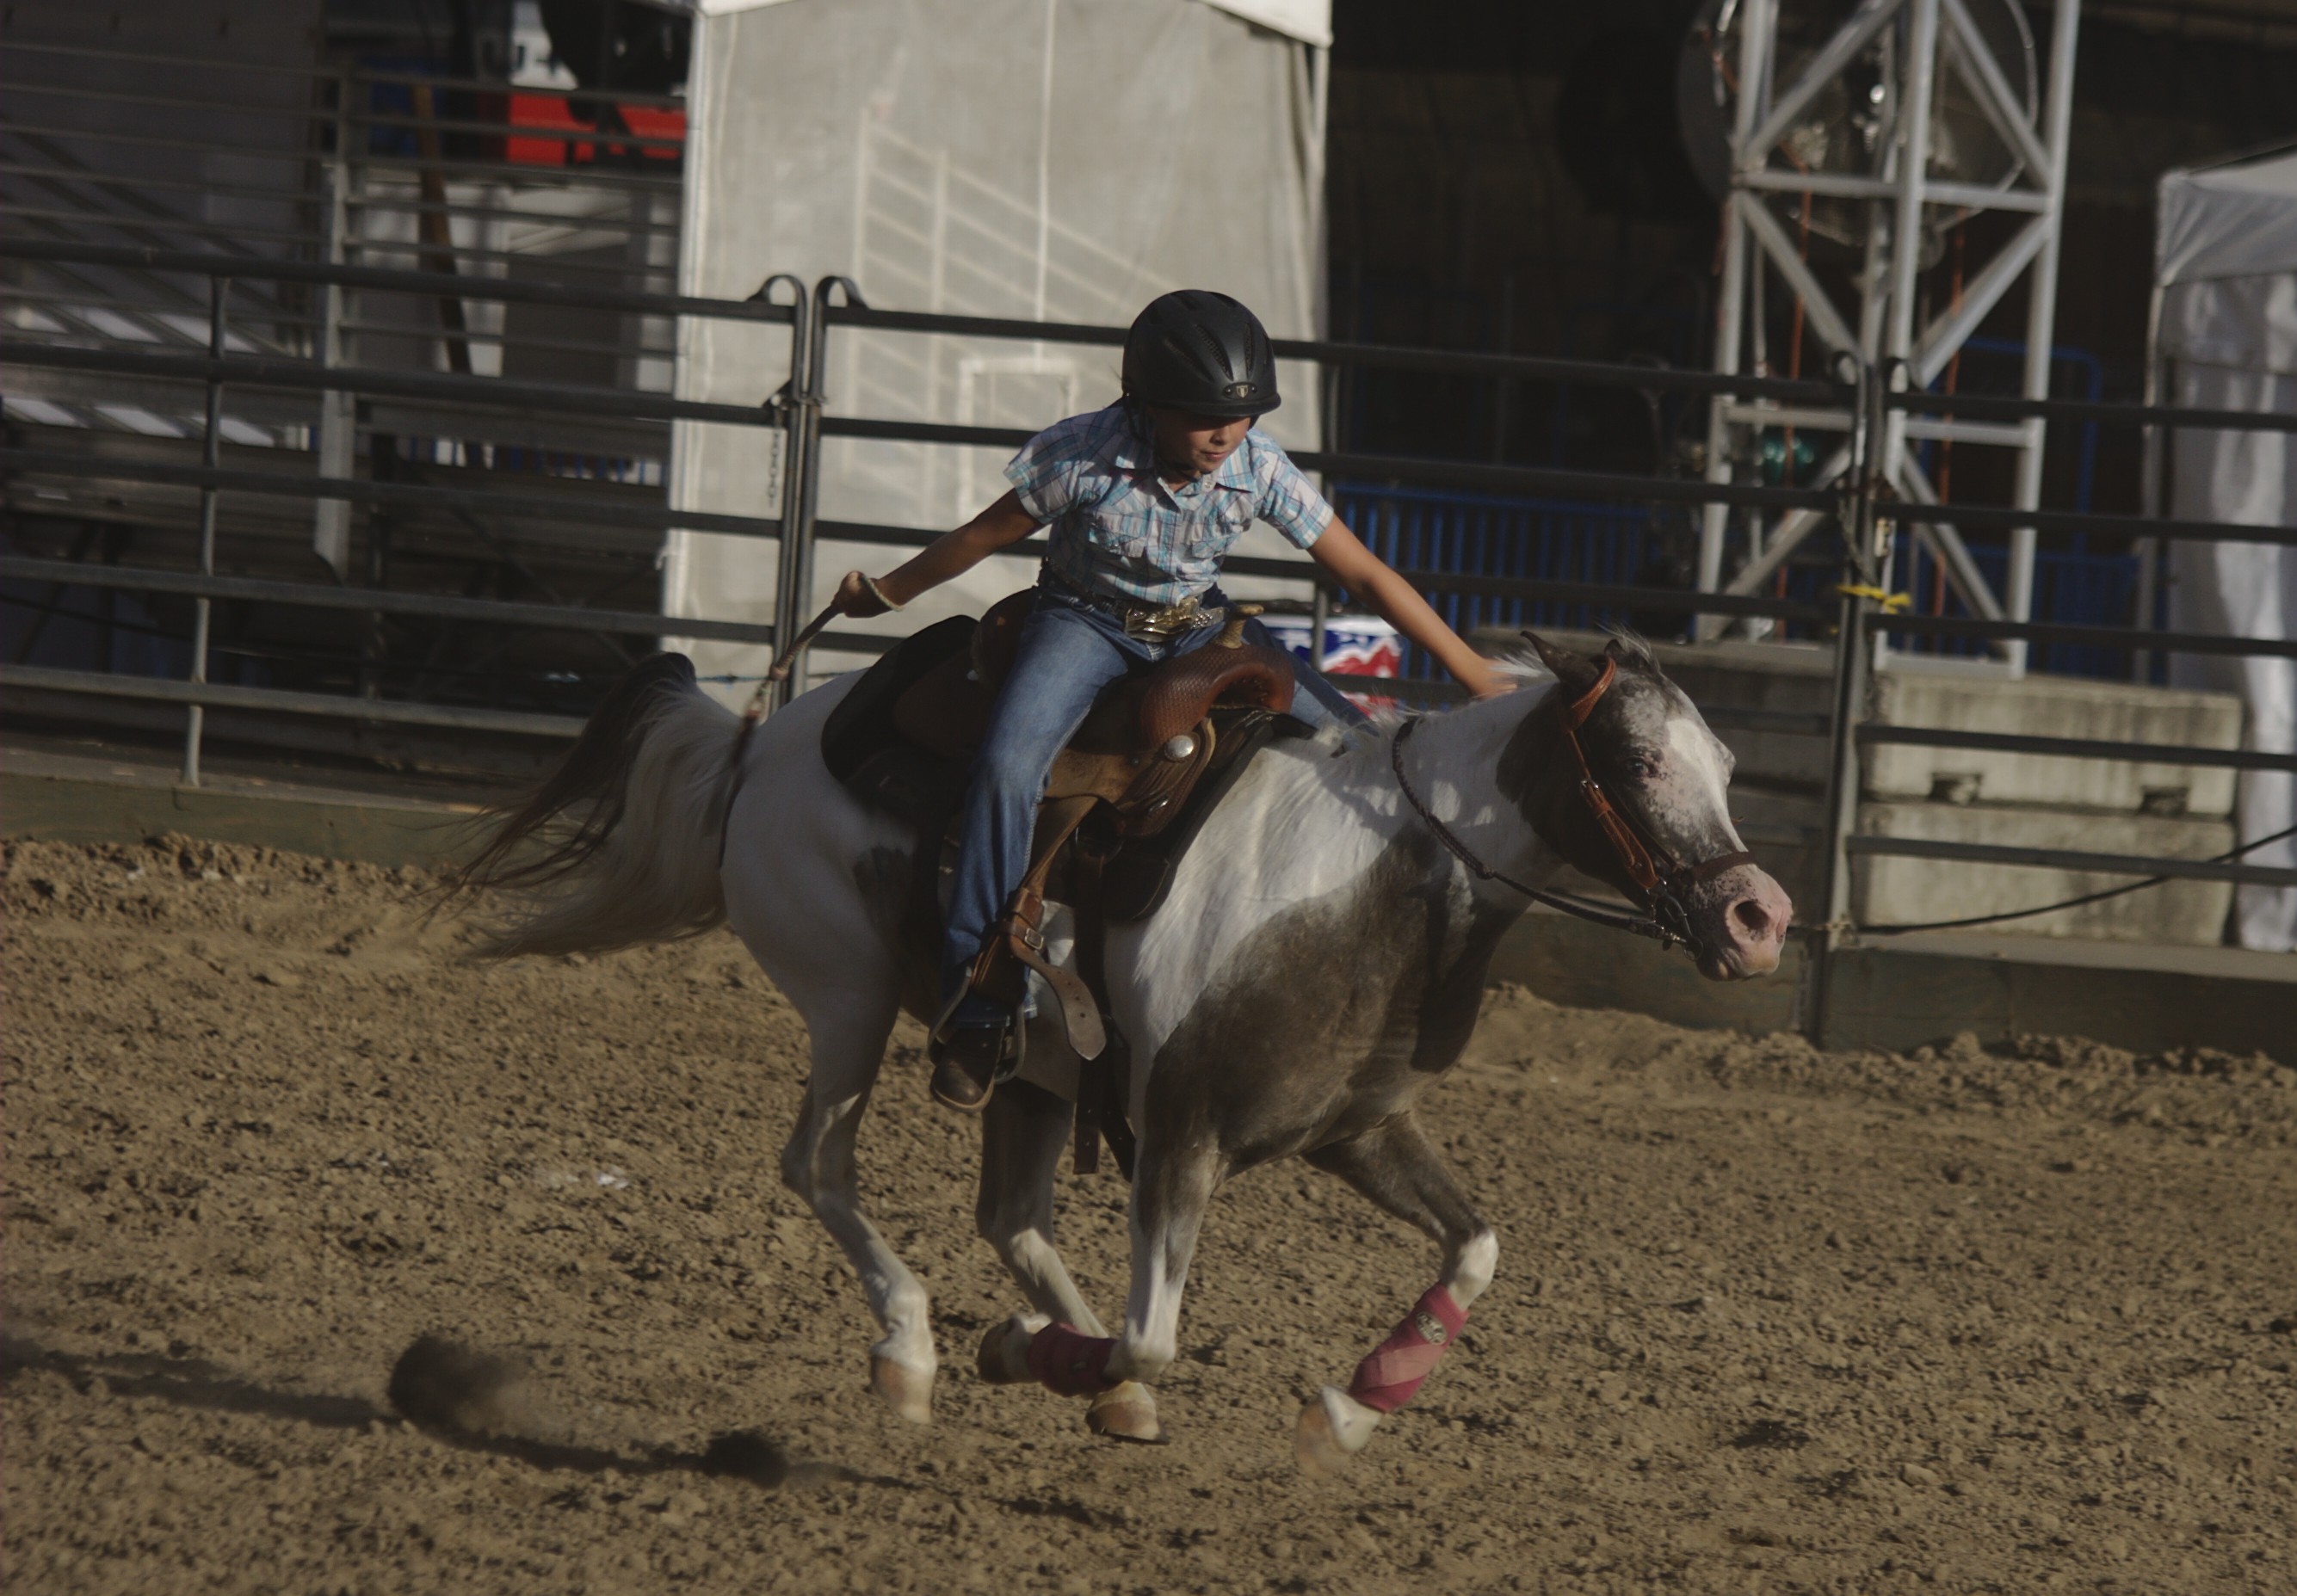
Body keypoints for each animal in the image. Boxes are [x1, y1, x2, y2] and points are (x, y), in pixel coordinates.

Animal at [452, 633, 1791, 1470]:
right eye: (1638, 759)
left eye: (1728, 763)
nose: (1757, 916)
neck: (1367, 886)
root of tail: (755, 741)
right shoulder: (1181, 1129)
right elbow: (1155, 1326)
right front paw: (1020, 1350)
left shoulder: (1354, 1126)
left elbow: (1476, 1247)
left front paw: (1349, 1413)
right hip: (845, 999)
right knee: (821, 1167)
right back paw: (916, 1348)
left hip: (1025, 1069)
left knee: (1012, 1216)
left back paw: (1079, 1374)